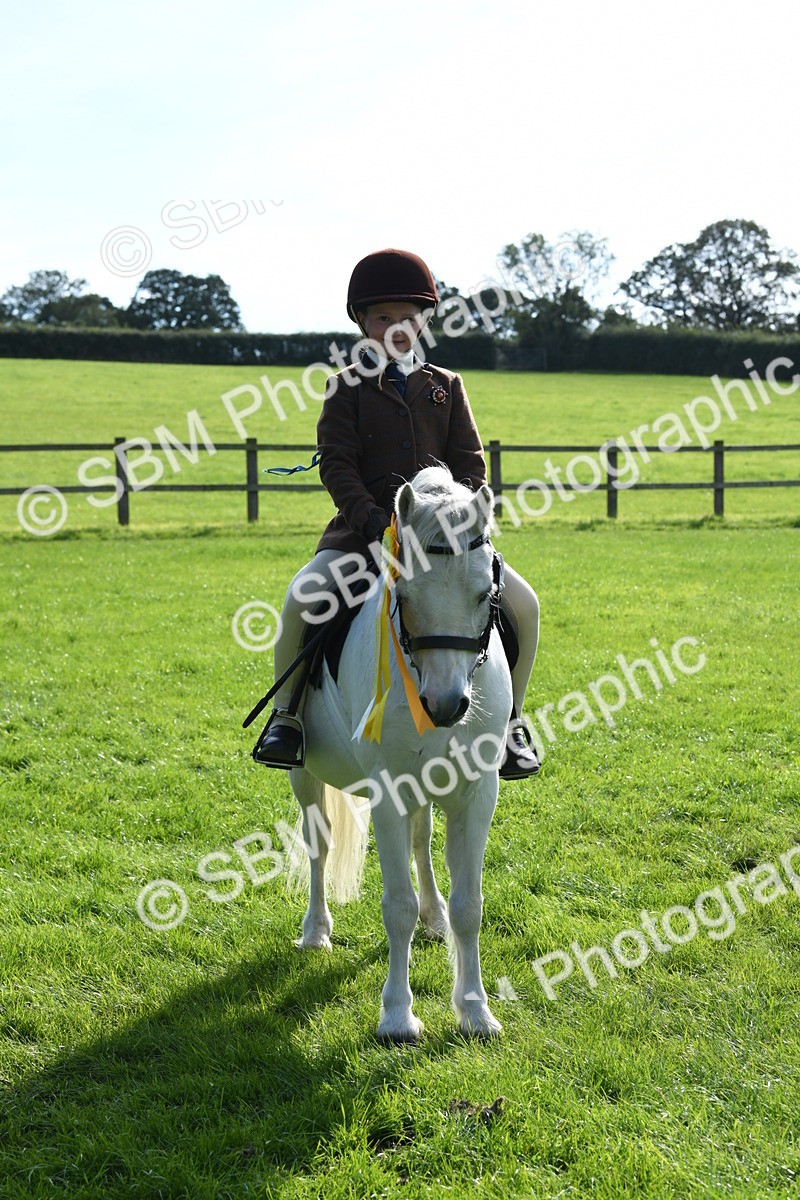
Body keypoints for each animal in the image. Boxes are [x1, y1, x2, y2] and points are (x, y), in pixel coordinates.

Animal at [284, 465, 513, 1042]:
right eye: (405, 591)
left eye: (485, 594)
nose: (446, 705)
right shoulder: (387, 793)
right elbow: (396, 907)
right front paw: (396, 1016)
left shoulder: (477, 794)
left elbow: (469, 905)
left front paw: (475, 1011)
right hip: (305, 775)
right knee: (319, 842)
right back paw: (316, 931)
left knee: (420, 841)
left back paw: (435, 919)